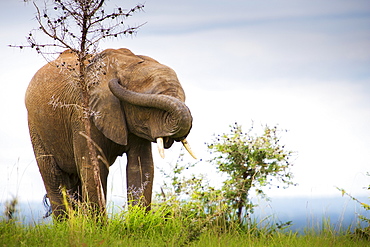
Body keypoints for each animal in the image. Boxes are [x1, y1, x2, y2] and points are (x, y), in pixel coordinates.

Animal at [24, 47, 195, 218]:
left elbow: (141, 166)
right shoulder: (83, 113)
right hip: (36, 128)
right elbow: (93, 168)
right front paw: (99, 225)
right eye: (148, 107)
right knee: (53, 178)